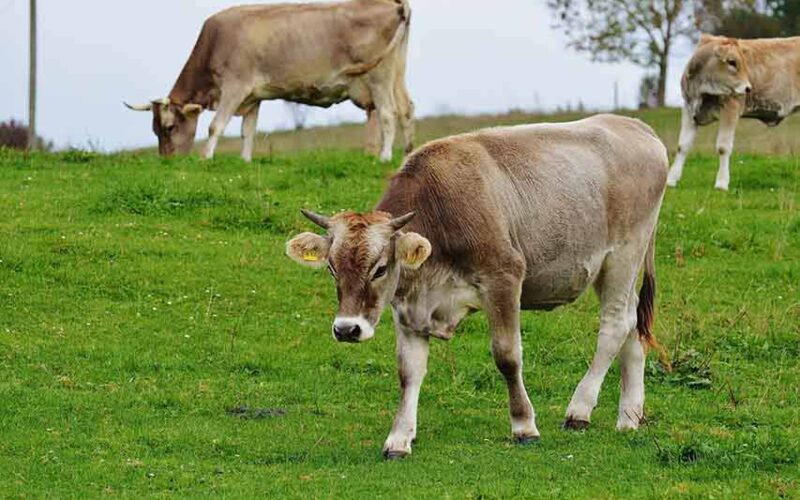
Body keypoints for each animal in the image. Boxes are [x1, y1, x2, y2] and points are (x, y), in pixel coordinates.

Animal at [123, 0, 418, 162]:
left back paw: (384, 157)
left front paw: (206, 158)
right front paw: (245, 160)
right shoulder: (253, 97)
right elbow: (248, 130)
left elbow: (216, 126)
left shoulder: (235, 87)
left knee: (388, 114)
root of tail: (392, 3)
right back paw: (407, 154)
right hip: (397, 72)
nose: (167, 160)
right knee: (406, 109)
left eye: (170, 127)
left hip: (379, 76)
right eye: (154, 129)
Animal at [284, 115, 672, 458]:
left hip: (623, 254)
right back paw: (629, 416)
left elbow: (507, 356)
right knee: (632, 324)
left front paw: (524, 426)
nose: (347, 329)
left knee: (615, 324)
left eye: (380, 269)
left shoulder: (503, 278)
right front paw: (399, 438)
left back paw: (579, 409)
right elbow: (408, 372)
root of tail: (637, 127)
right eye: (332, 268)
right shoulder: (408, 308)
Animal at [664, 33, 800, 189]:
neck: (700, 89)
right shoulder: (688, 108)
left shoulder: (731, 107)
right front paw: (671, 179)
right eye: (732, 62)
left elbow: (723, 147)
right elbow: (683, 145)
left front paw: (721, 183)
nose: (748, 88)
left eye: (744, 62)